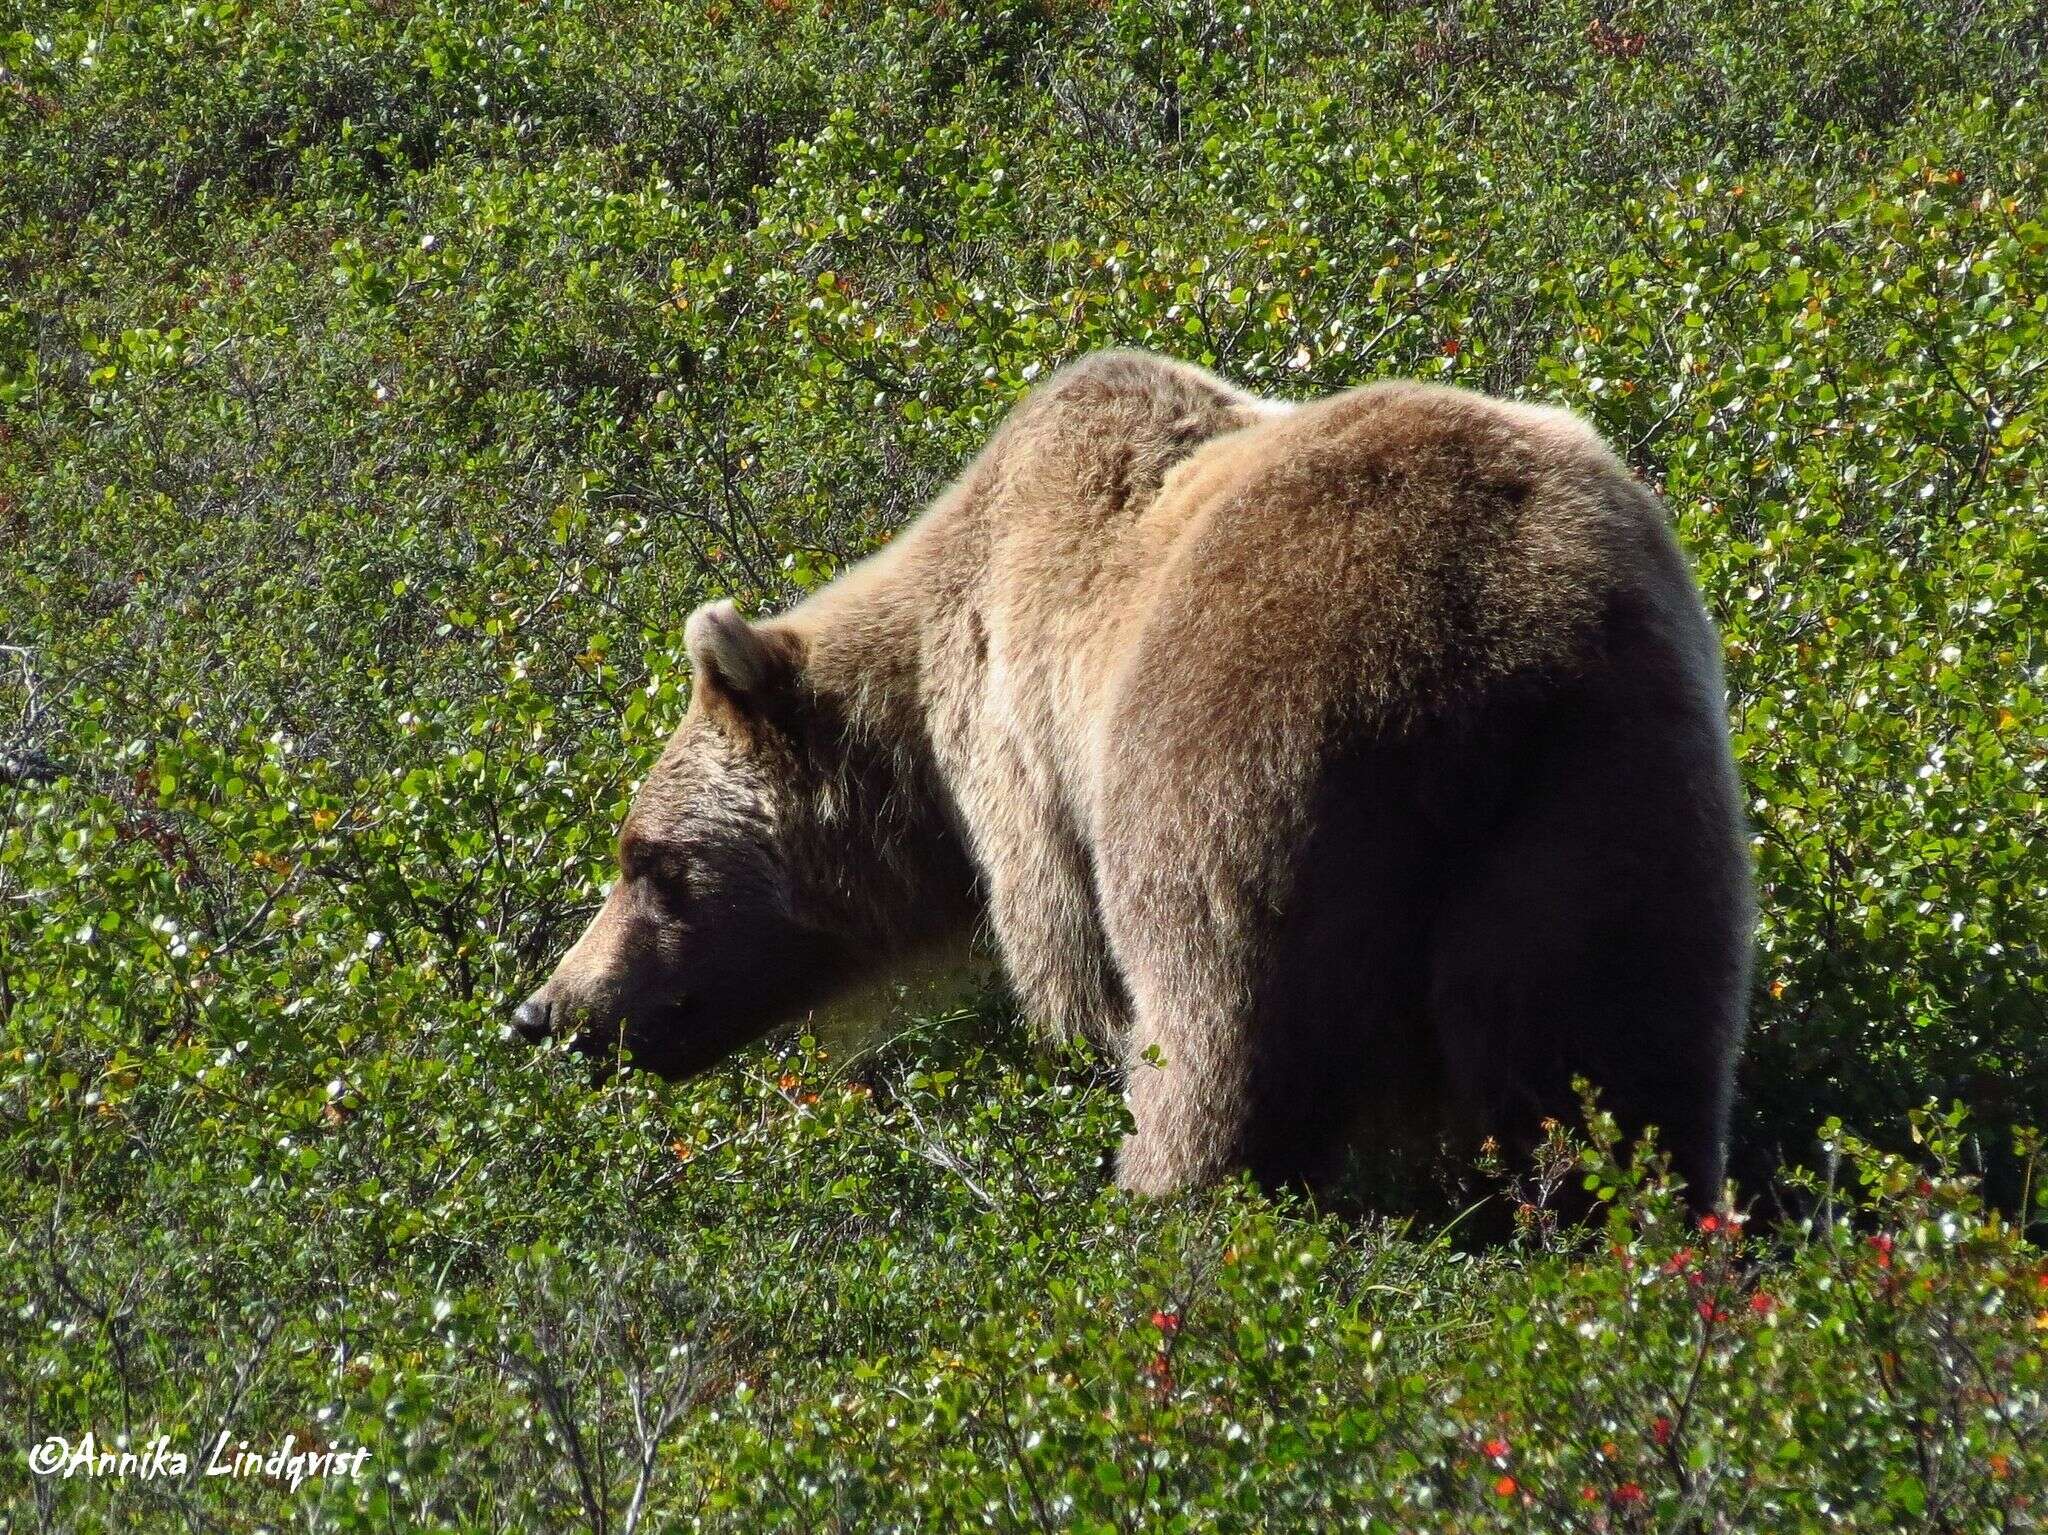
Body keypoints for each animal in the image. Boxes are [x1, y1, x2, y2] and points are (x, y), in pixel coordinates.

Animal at [520, 354, 1753, 1211]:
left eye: (648, 861)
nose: (549, 1009)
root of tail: (1480, 644)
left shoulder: (1029, 764)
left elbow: (1073, 972)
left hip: (1234, 766)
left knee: (1213, 1031)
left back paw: (1167, 1192)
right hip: (1611, 790)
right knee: (1612, 1049)